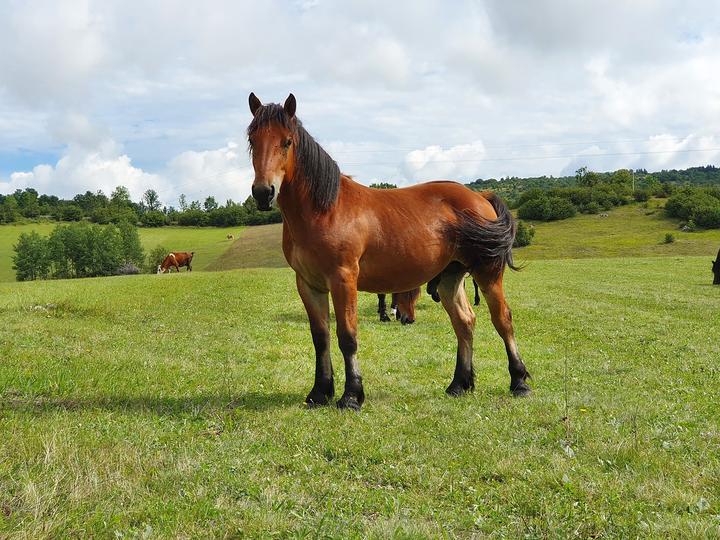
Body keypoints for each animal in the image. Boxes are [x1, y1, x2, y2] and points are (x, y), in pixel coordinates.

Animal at [248, 93, 528, 410]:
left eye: (287, 142)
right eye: (252, 140)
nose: (263, 193)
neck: (326, 210)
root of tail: (479, 196)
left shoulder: (343, 279)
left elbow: (347, 336)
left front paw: (351, 396)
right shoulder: (309, 284)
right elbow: (320, 337)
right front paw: (319, 393)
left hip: (487, 273)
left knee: (502, 319)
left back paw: (519, 382)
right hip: (450, 277)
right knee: (464, 322)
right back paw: (459, 384)